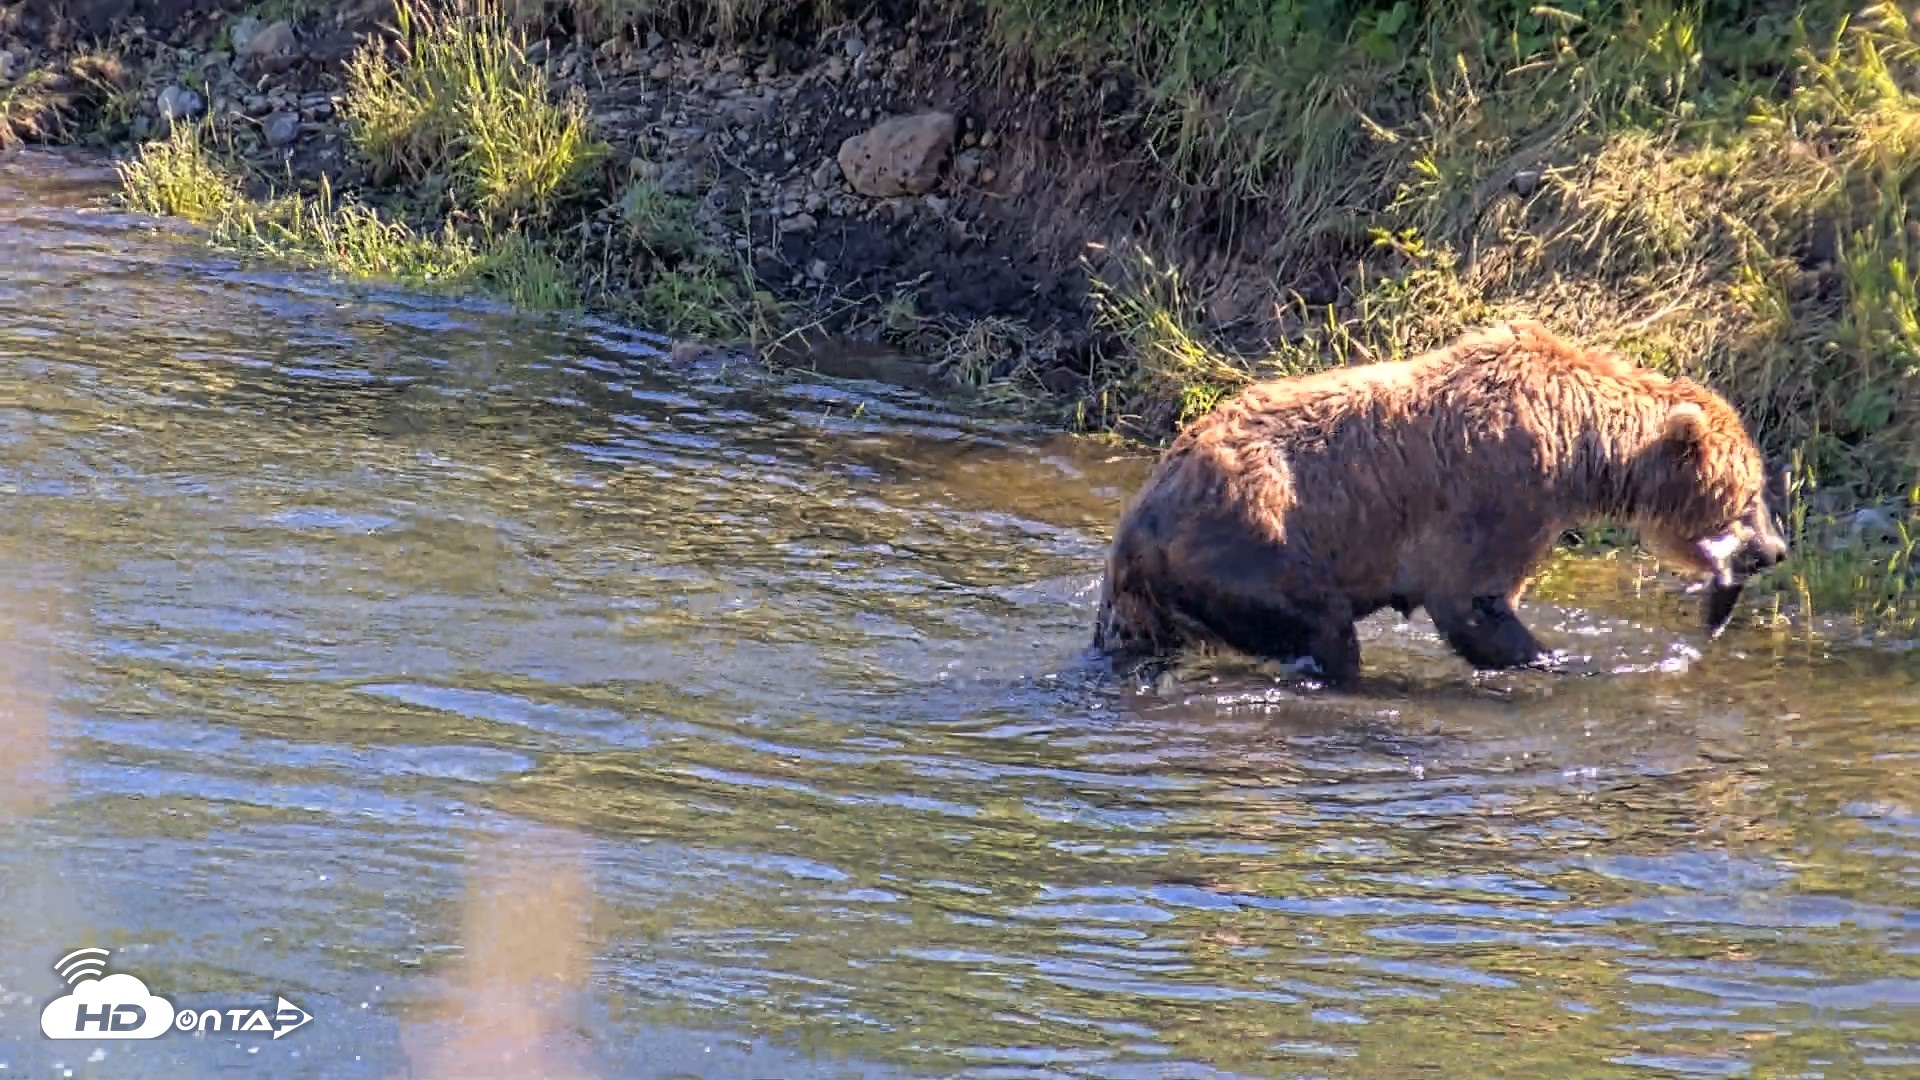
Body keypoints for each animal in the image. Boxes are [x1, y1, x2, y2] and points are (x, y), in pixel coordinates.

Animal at [1093, 319, 1788, 687]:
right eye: (1752, 492)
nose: (1774, 550)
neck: (1578, 441)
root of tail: (1137, 523)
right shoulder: (1502, 493)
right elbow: (1471, 601)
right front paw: (1563, 659)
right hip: (1248, 545)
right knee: (1325, 626)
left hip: (1158, 598)